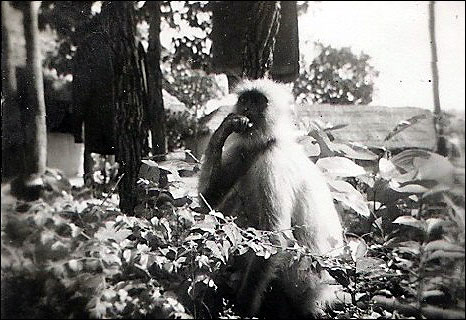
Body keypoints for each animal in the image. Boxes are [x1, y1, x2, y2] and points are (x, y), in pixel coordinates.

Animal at [198, 79, 344, 318]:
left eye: (259, 101)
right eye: (245, 100)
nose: (247, 109)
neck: (271, 141)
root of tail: (327, 293)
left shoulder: (274, 160)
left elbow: (275, 238)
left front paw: (243, 309)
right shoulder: (245, 148)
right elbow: (207, 202)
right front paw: (224, 129)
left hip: (304, 277)